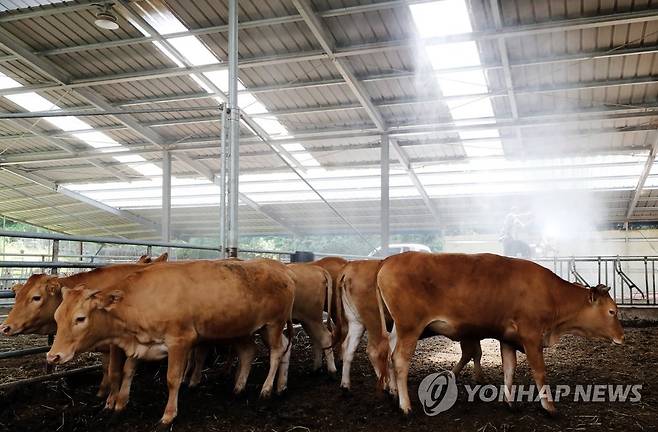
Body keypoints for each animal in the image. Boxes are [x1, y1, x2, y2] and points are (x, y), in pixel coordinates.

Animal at [46, 258, 292, 426]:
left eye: (80, 318)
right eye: (56, 317)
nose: (53, 356)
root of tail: (279, 268)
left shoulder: (180, 340)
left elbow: (172, 379)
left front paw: (168, 415)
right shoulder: (139, 343)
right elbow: (127, 371)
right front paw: (120, 404)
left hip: (273, 324)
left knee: (277, 351)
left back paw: (267, 389)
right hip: (242, 330)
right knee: (254, 351)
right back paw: (251, 387)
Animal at [338, 260, 482, 392]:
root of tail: (350, 268)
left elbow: (475, 352)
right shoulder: (468, 333)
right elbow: (471, 352)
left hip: (357, 322)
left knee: (348, 347)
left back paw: (346, 385)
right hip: (374, 322)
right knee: (374, 351)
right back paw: (386, 386)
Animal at [376, 253, 624, 416]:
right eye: (612, 311)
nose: (622, 337)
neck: (550, 294)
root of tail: (389, 260)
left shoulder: (507, 338)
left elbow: (509, 369)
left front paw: (510, 402)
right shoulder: (531, 336)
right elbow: (539, 372)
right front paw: (550, 407)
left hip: (399, 329)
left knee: (389, 354)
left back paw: (393, 394)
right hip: (410, 327)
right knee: (400, 360)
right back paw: (406, 406)